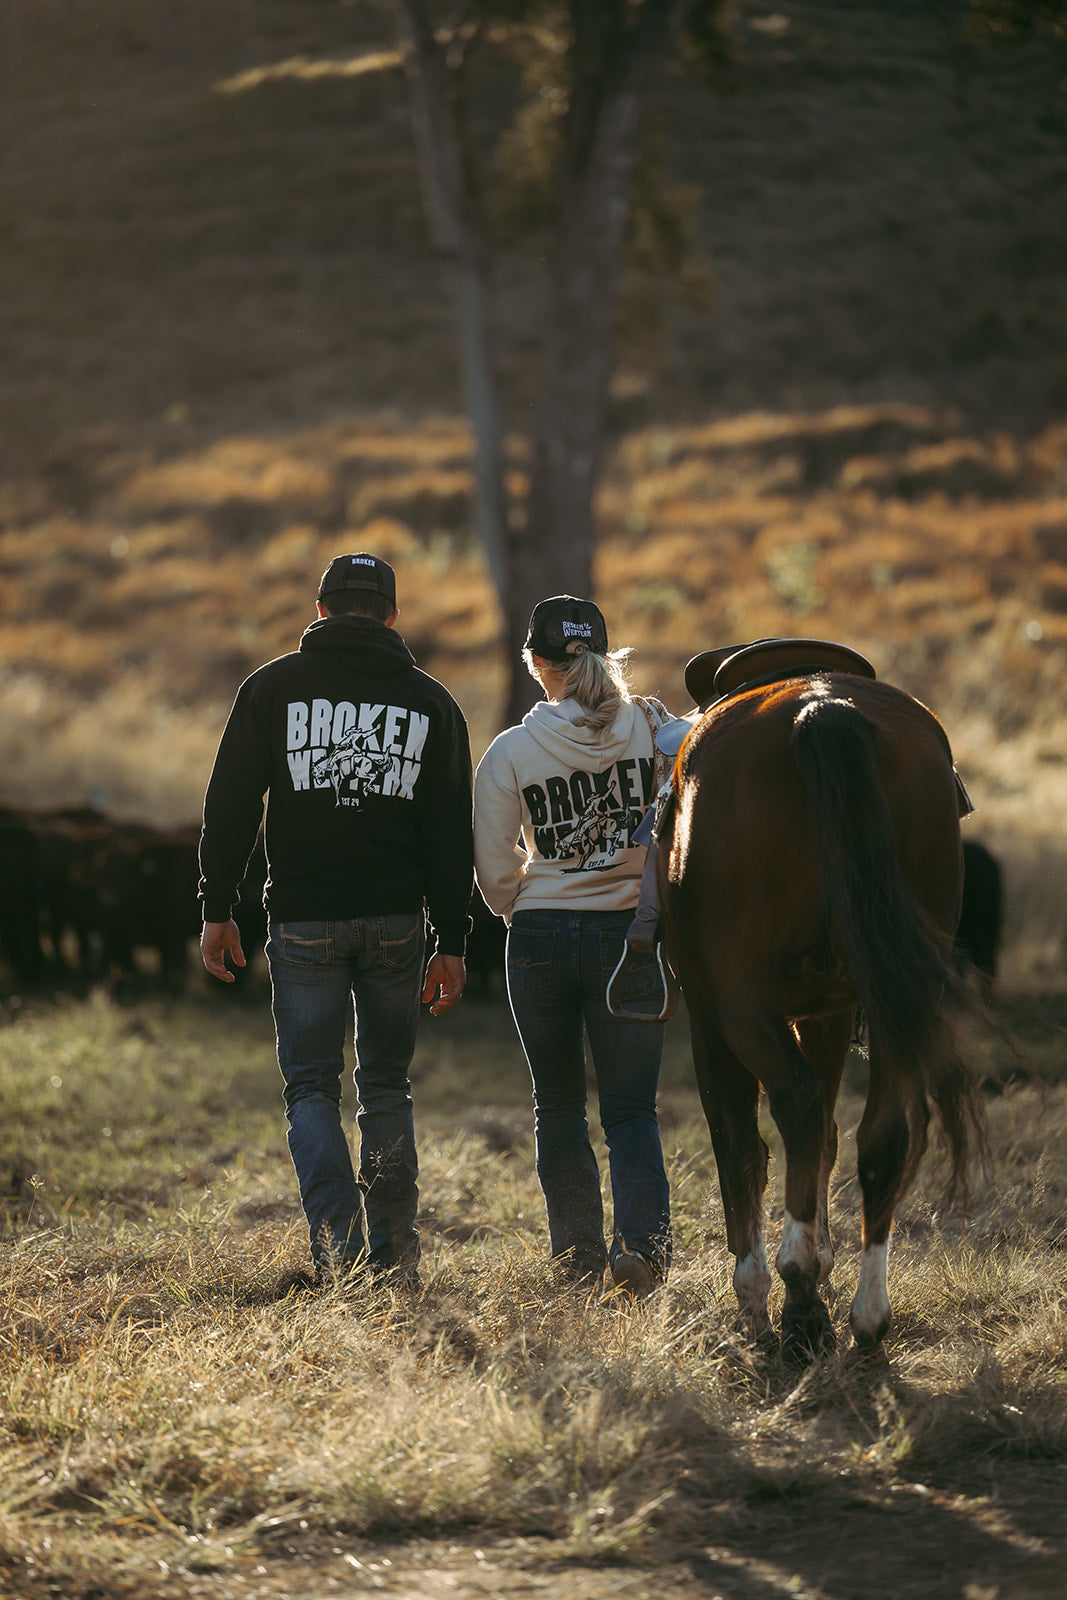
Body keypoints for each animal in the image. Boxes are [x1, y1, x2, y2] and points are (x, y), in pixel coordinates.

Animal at [662, 649, 991, 1363]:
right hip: (892, 1002)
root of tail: (822, 704)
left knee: (797, 1106)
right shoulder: (830, 1014)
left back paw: (798, 1294)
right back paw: (866, 1316)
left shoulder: (710, 1018)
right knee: (881, 1134)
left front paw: (760, 1298)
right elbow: (830, 1142)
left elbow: (741, 1147)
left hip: (739, 1002)